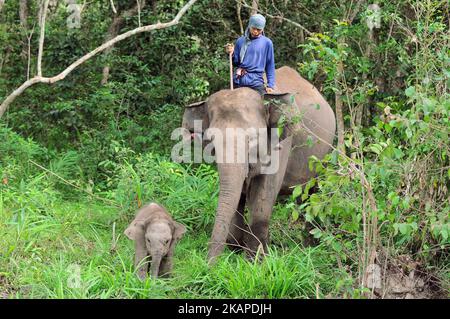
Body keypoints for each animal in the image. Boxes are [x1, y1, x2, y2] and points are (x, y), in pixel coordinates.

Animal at [181, 65, 336, 264]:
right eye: (211, 142)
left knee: (312, 194)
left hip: (324, 155)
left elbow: (264, 192)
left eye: (253, 138)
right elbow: (236, 195)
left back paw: (309, 247)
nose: (207, 267)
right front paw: (235, 253)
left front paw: (255, 262)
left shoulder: (282, 141)